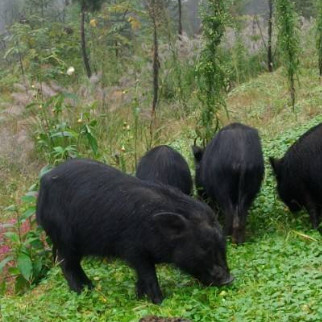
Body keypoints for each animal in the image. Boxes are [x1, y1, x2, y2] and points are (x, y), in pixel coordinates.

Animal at [36, 160, 233, 304]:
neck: (154, 229)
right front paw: (159, 301)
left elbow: (141, 278)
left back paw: (89, 288)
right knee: (66, 265)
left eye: (223, 244)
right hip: (64, 240)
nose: (228, 279)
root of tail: (42, 187)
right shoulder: (133, 250)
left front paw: (139, 298)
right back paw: (83, 292)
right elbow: (148, 275)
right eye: (203, 246)